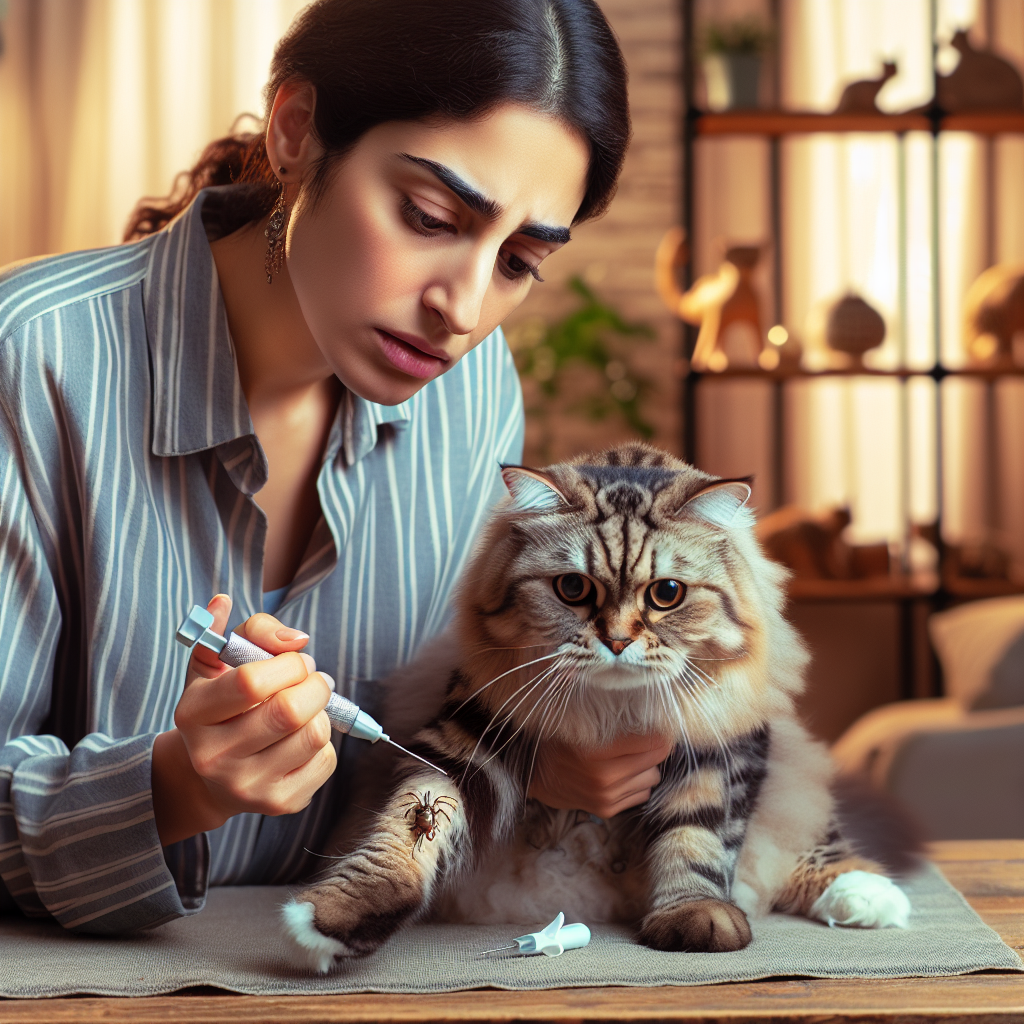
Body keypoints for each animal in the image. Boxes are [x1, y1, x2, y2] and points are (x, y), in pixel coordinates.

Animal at [282, 444, 913, 970]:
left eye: (666, 594)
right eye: (573, 589)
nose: (616, 639)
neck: (615, 710)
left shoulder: (715, 747)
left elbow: (698, 839)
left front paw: (693, 916)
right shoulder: (470, 737)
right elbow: (406, 824)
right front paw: (336, 918)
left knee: (816, 834)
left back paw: (867, 896)